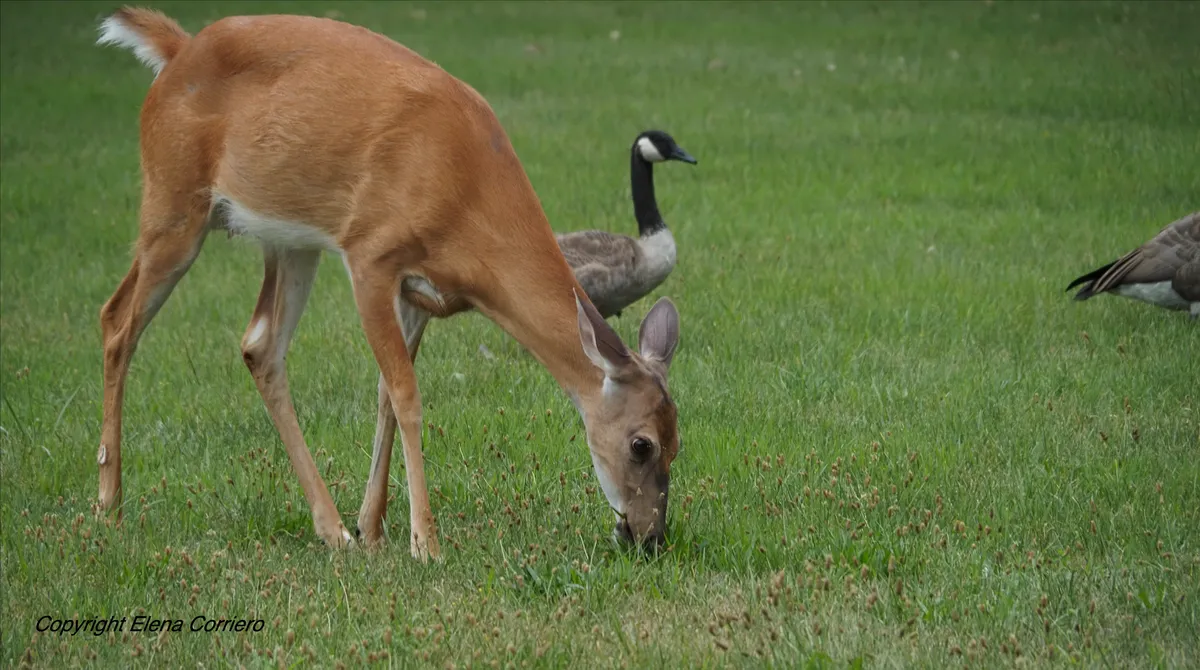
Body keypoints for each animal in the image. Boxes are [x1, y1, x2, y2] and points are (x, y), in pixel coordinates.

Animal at [95, 7, 683, 560]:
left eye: (678, 442)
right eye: (642, 445)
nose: (649, 537)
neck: (464, 199)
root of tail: (177, 50)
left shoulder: (420, 292)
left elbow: (384, 393)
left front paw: (372, 528)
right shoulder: (371, 254)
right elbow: (408, 394)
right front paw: (425, 542)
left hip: (290, 242)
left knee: (259, 345)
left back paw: (332, 530)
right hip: (173, 201)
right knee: (117, 320)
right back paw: (109, 506)